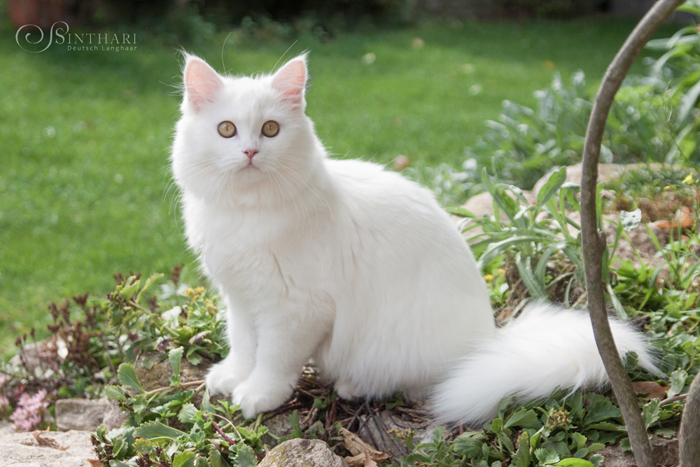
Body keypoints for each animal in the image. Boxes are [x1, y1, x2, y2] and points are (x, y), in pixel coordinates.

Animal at [170, 54, 656, 424]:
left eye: (270, 130)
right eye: (227, 130)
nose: (250, 152)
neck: (243, 213)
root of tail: (489, 343)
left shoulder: (295, 309)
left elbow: (273, 359)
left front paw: (258, 395)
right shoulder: (240, 297)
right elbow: (243, 344)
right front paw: (231, 377)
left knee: (420, 384)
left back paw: (353, 386)